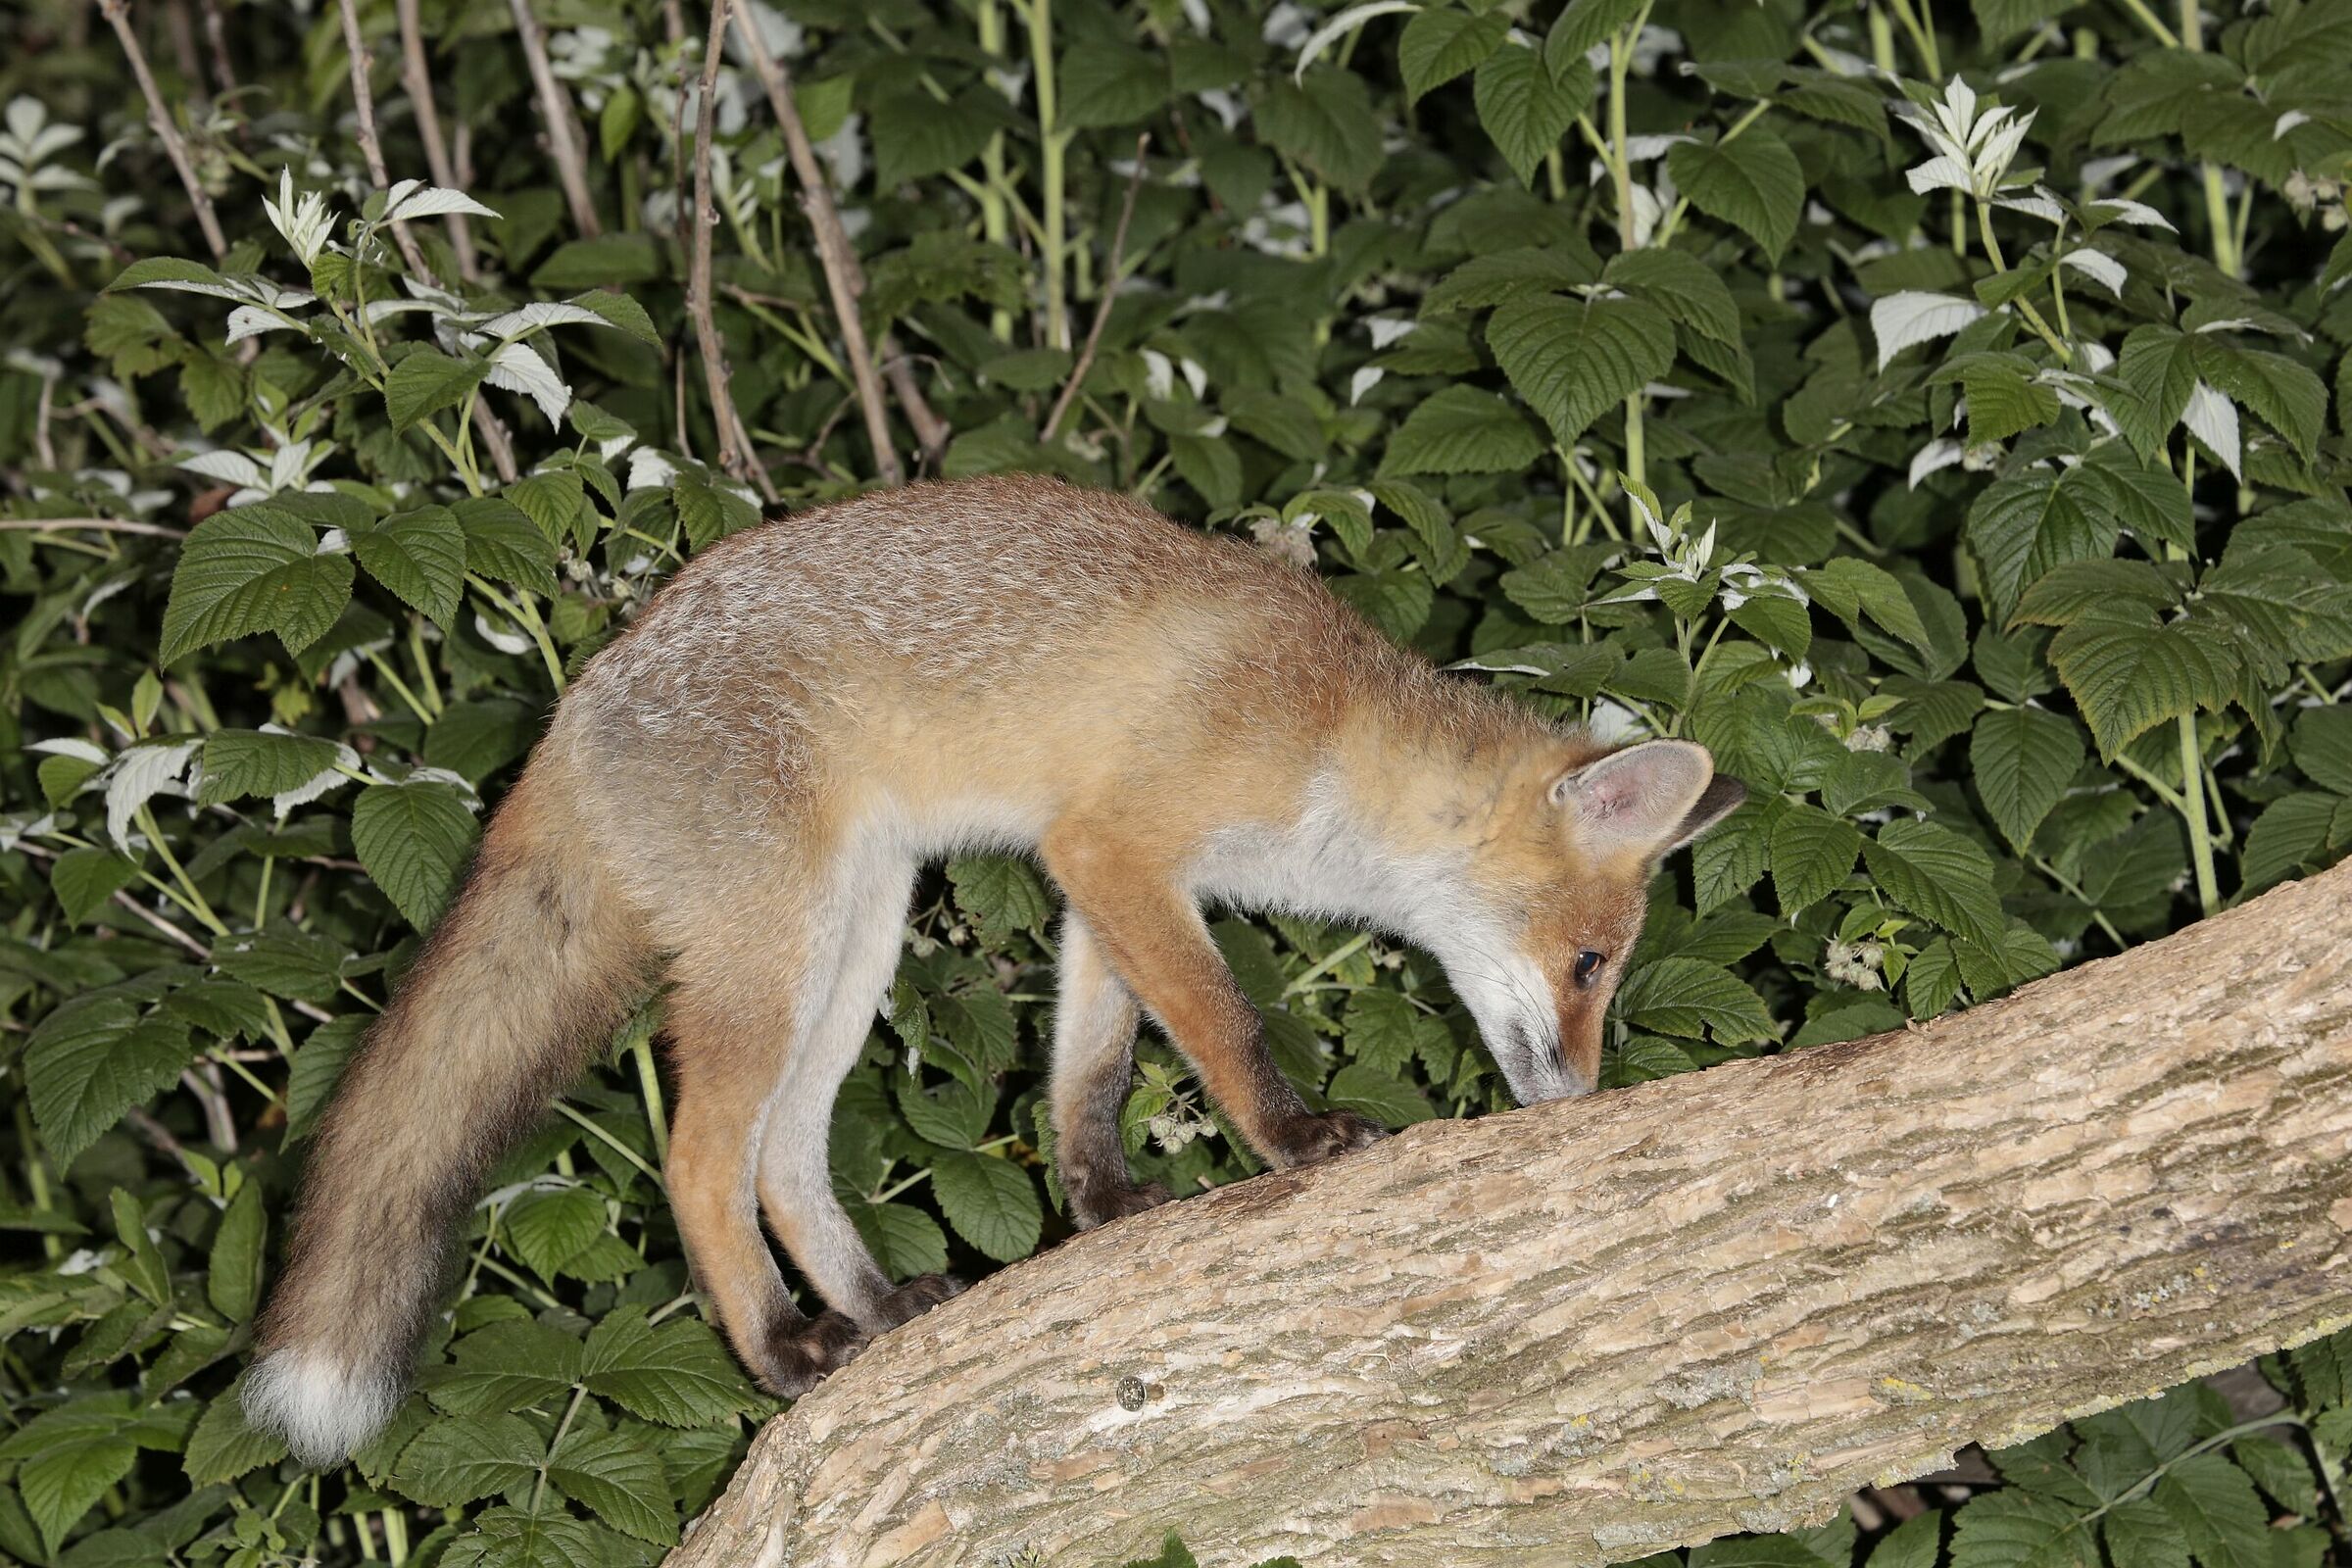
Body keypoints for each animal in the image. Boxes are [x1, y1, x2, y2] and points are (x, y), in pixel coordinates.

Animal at [243, 473, 1745, 1466]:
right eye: (1591, 963)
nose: (1582, 1097)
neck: (1335, 748)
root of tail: (580, 698)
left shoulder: (1101, 892)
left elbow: (1090, 1071)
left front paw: (1105, 1205)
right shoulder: (1120, 850)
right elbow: (1225, 1031)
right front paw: (1298, 1139)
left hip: (856, 942)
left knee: (786, 1157)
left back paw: (873, 1305)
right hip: (774, 957)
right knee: (700, 1159)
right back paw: (782, 1348)